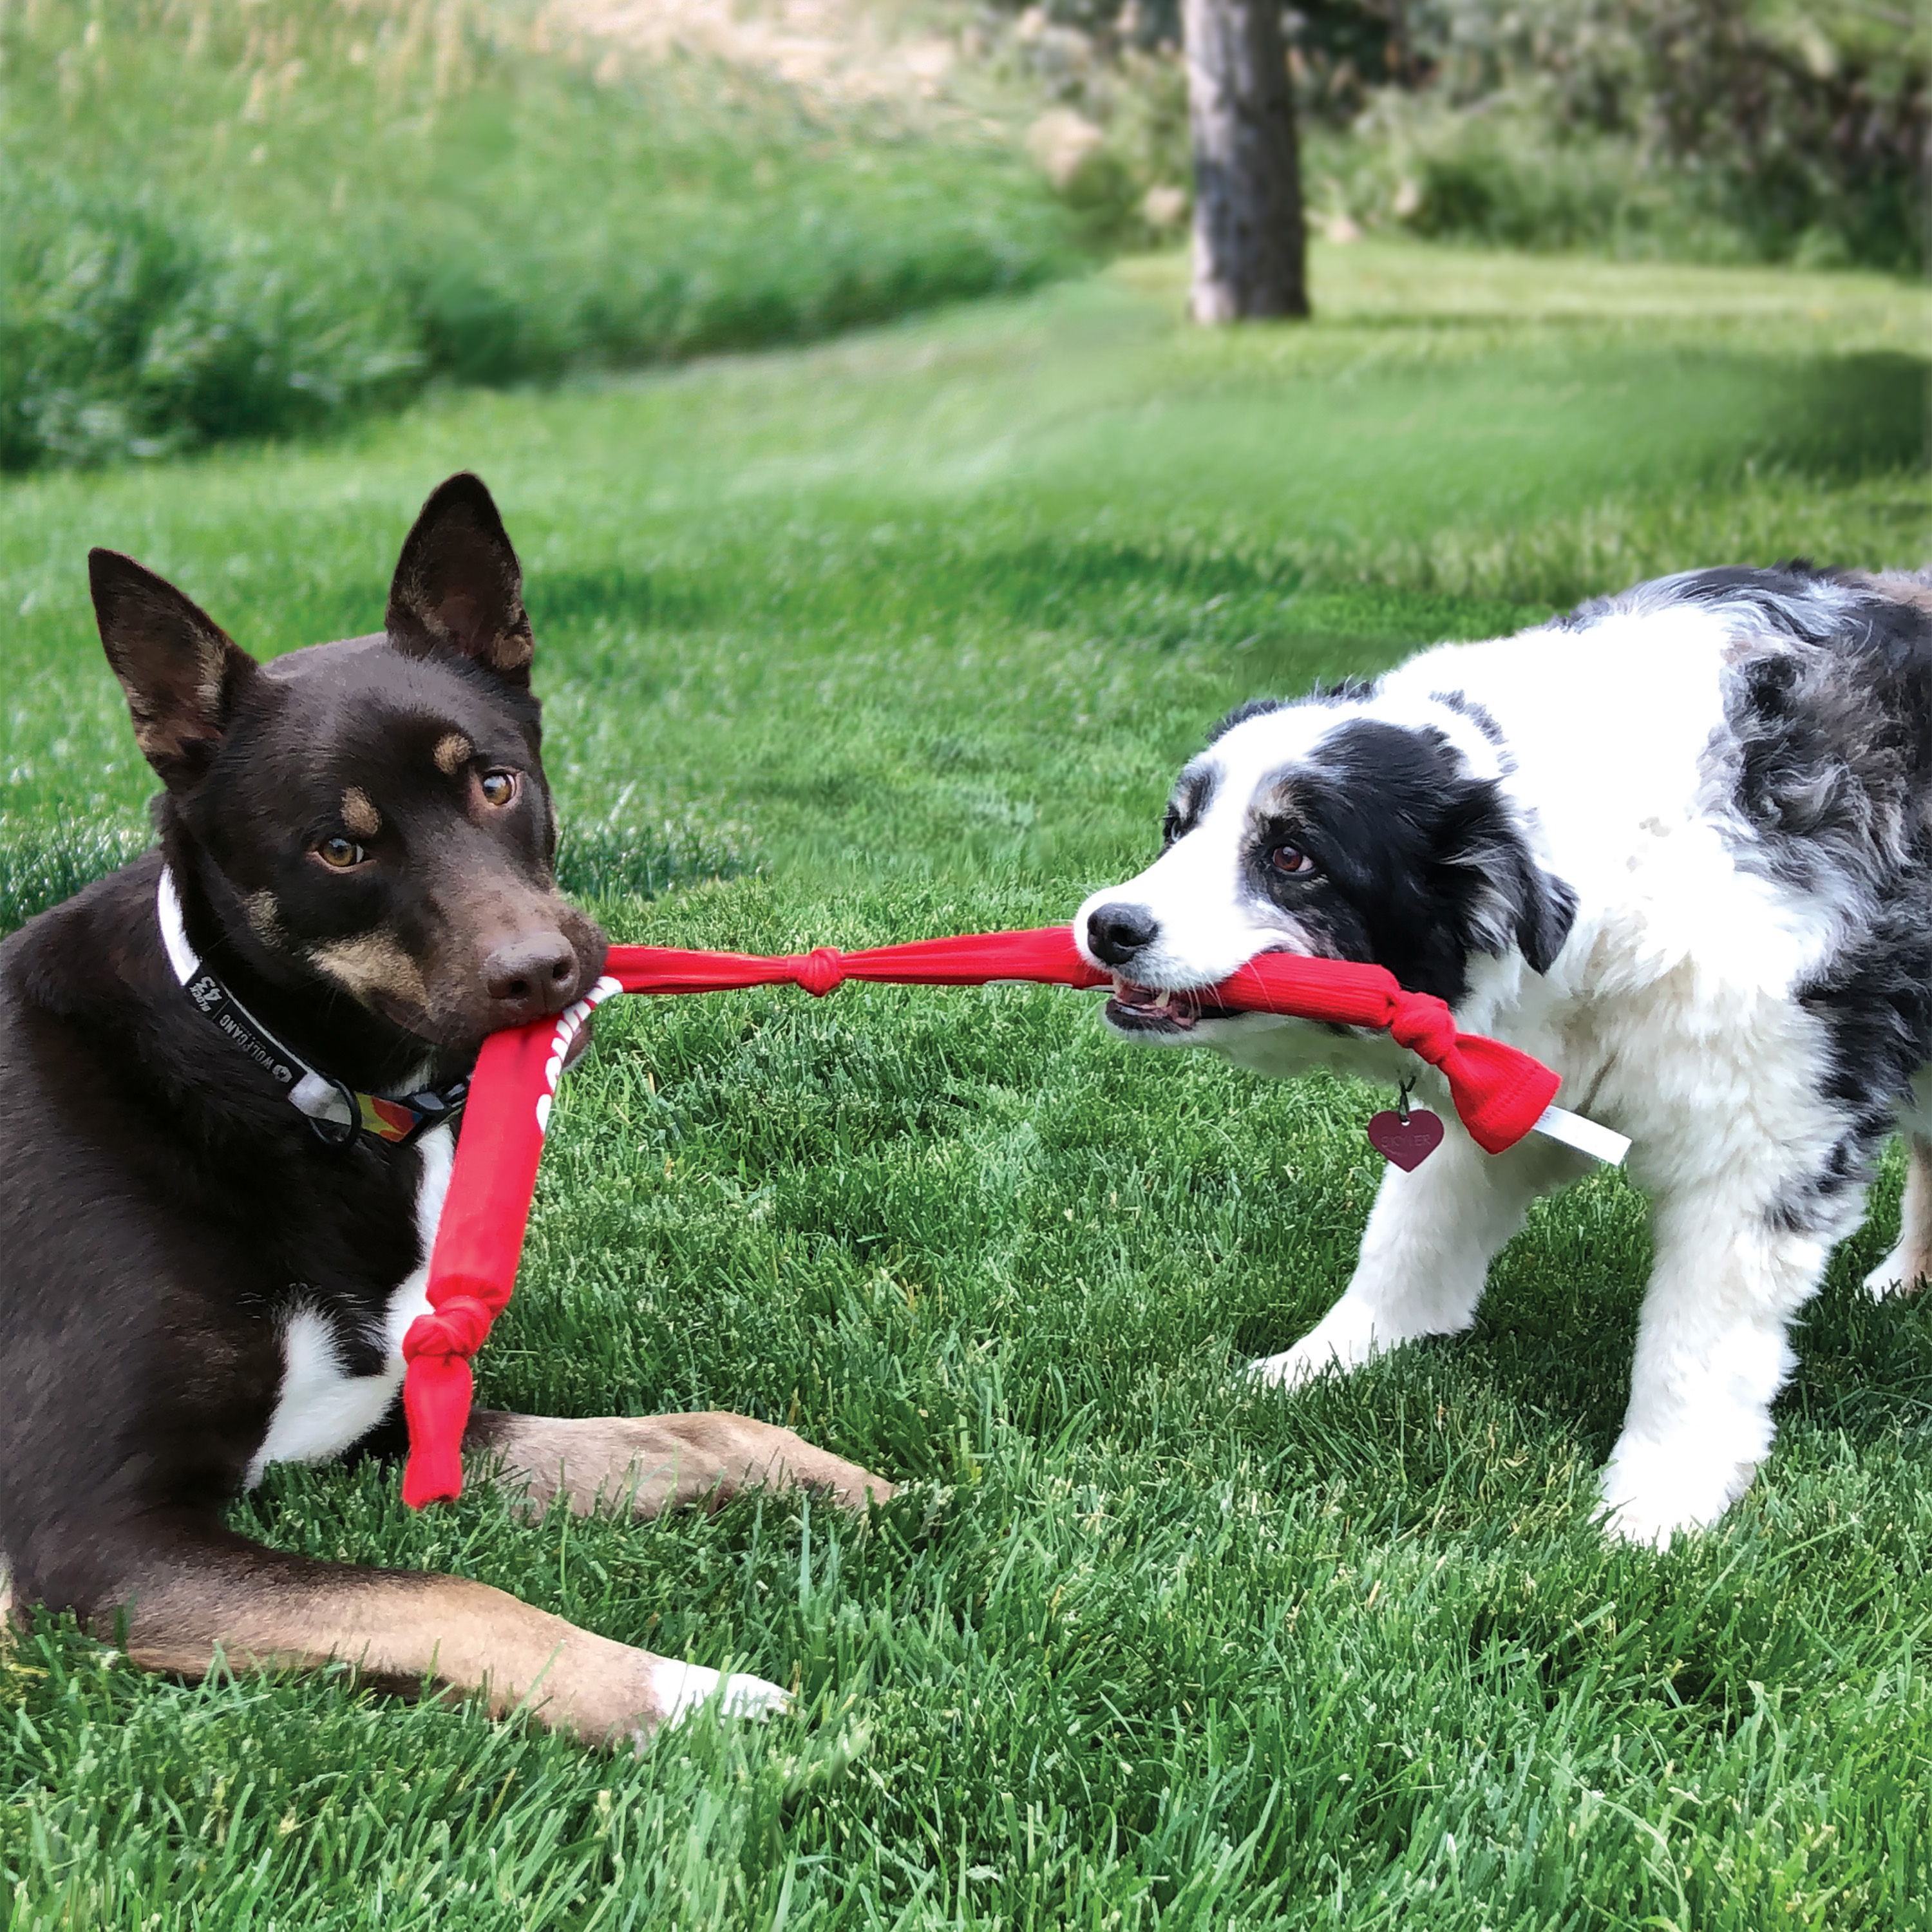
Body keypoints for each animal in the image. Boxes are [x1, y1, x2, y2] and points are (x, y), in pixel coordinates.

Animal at [0, 475, 889, 1747]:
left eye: (496, 782)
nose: (543, 972)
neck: (271, 1071)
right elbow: (451, 1594)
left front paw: (842, 1482)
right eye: (338, 847)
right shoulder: (87, 1535)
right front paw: (691, 1697)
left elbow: (682, 1432)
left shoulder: (376, 1422)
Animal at [1082, 564, 1932, 1546]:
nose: (1108, 926)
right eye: (1177, 827)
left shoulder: (1766, 1133)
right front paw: (1326, 1361)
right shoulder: (1495, 1088)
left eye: (1292, 856)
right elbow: (1409, 1237)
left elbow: (1694, 1343)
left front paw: (1654, 1510)